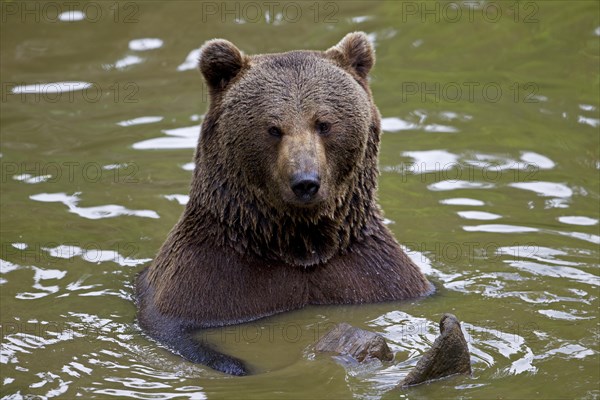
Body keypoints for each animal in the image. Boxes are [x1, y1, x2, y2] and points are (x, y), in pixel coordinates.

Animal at [137, 31, 432, 376]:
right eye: (273, 128)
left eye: (324, 123)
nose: (305, 182)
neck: (298, 245)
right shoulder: (204, 286)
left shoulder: (378, 278)